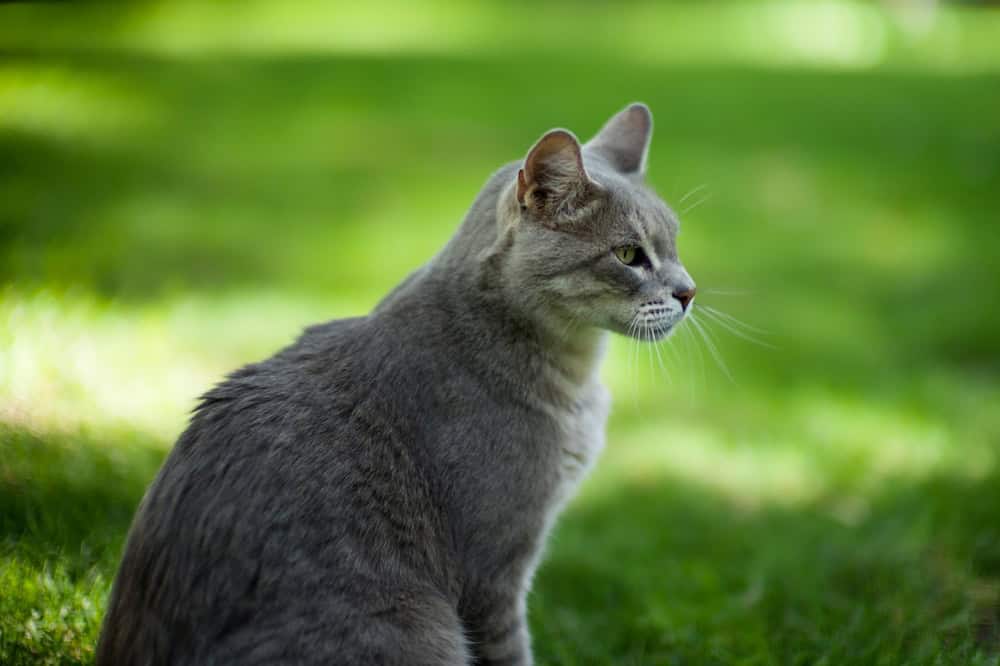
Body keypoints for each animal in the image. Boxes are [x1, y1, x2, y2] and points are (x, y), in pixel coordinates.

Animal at [99, 102, 696, 664]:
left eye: (674, 245)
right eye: (629, 254)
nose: (689, 291)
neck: (574, 373)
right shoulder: (495, 573)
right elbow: (511, 652)